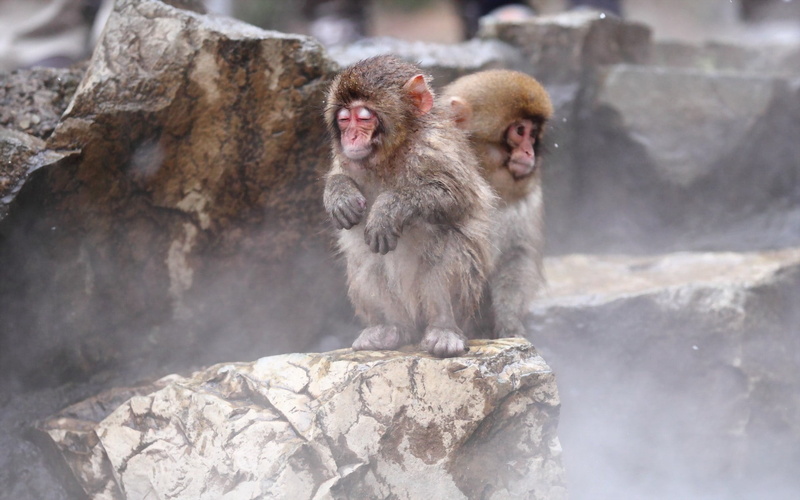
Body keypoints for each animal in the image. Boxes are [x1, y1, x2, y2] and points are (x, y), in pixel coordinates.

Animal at [323, 55, 497, 358]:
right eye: (344, 120)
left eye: (363, 118)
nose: (350, 138)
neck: (393, 152)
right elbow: (338, 174)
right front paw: (339, 193)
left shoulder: (435, 146)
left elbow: (454, 195)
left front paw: (388, 209)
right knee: (366, 260)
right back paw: (390, 329)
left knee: (448, 246)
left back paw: (443, 328)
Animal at [442, 69, 553, 339]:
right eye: (520, 131)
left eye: (533, 134)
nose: (529, 153)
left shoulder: (529, 198)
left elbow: (517, 255)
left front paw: (509, 321)